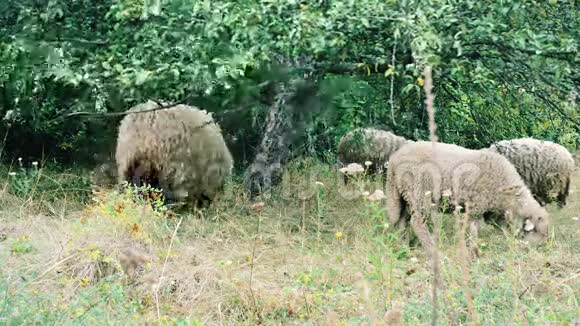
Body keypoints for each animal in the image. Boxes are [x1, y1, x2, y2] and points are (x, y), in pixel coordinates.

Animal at [388, 140, 552, 258]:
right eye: (537, 231)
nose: (542, 249)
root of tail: (394, 160)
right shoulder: (475, 206)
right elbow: (473, 229)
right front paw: (474, 251)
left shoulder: (493, 213)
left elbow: (503, 229)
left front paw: (510, 244)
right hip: (420, 193)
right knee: (417, 223)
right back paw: (432, 250)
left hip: (404, 195)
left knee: (402, 221)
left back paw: (403, 248)